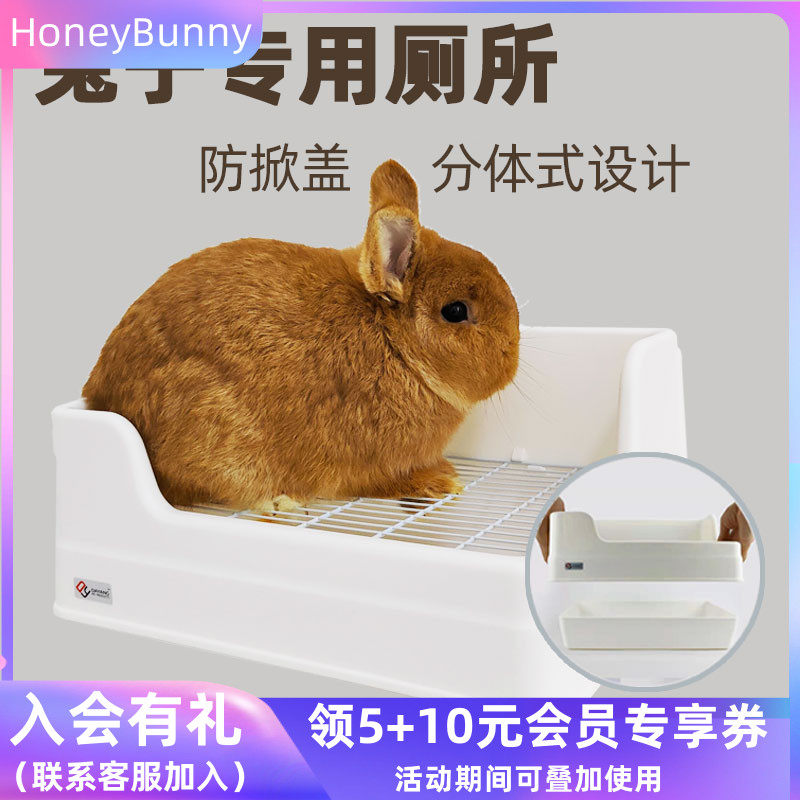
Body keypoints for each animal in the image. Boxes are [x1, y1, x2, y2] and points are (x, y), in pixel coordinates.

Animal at [83, 160, 520, 512]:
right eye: (456, 311)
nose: (512, 359)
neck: (395, 346)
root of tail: (104, 399)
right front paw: (440, 482)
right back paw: (278, 501)